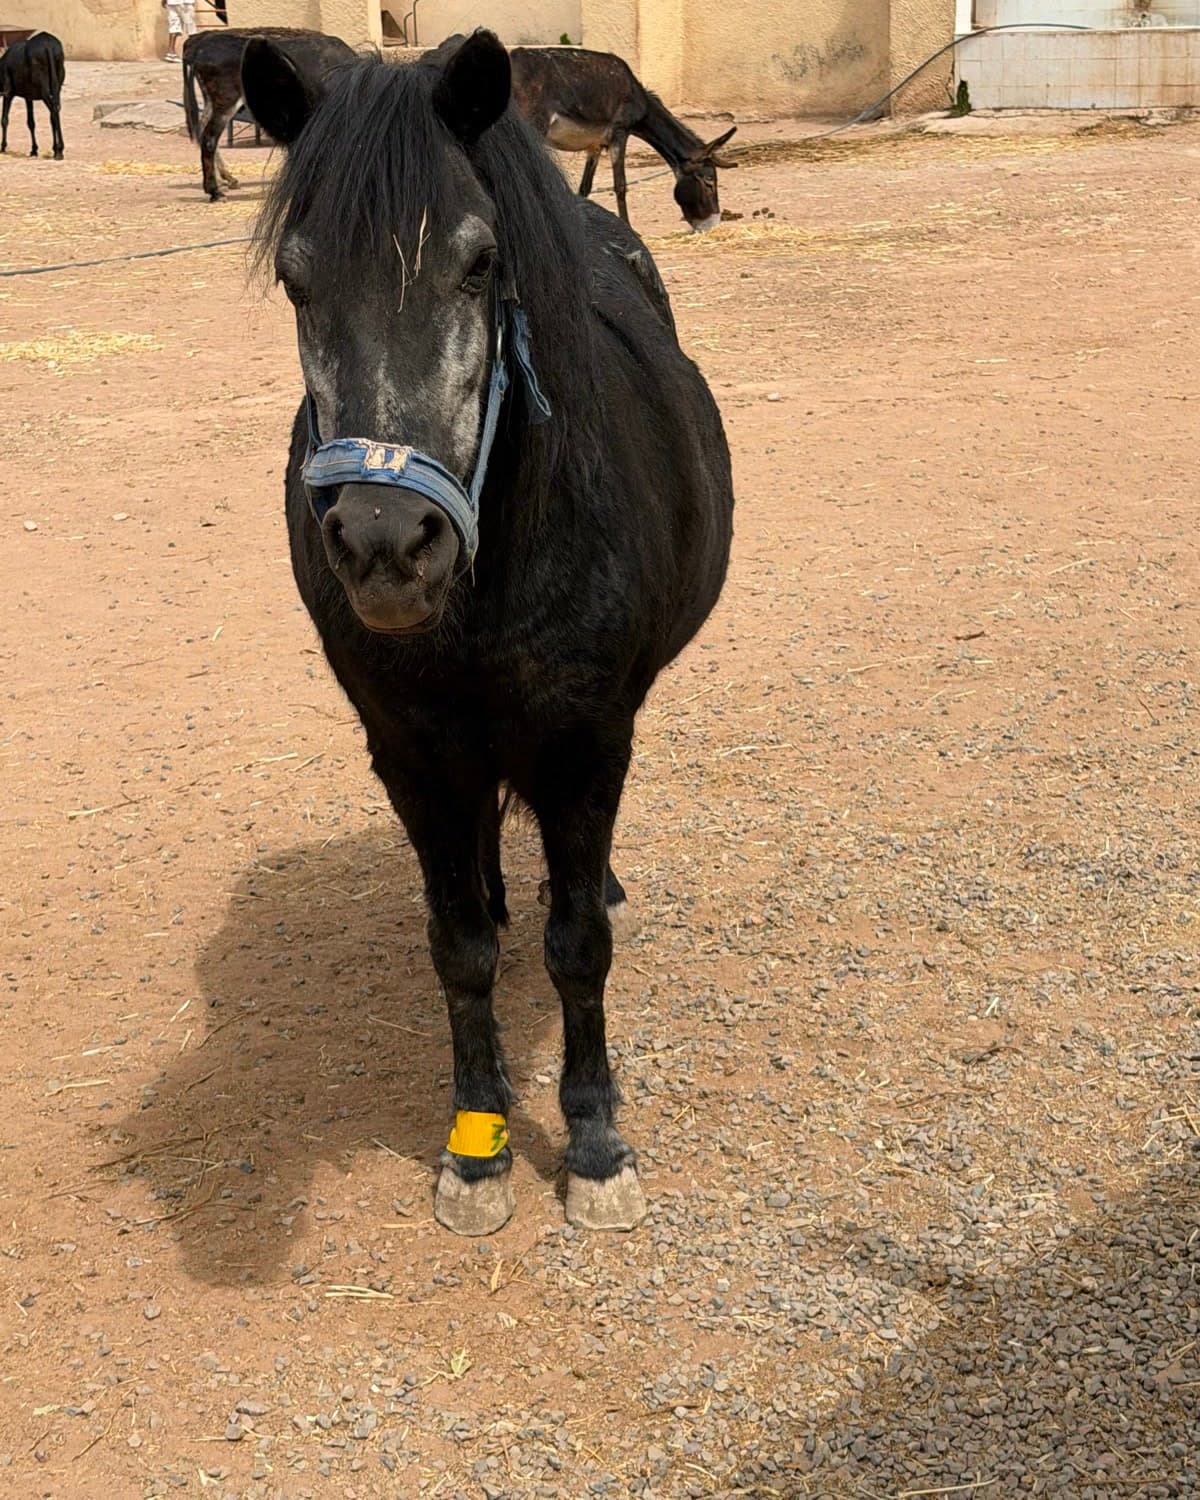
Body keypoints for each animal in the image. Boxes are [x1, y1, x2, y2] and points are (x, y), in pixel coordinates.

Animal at [0, 31, 65, 161]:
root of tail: (48, 44)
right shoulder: (28, 97)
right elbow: (31, 122)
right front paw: (34, 150)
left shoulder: (7, 93)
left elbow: (4, 119)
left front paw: (3, 147)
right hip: (57, 86)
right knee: (54, 112)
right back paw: (56, 149)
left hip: (44, 90)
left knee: (54, 110)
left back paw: (59, 150)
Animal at [181, 26, 353, 200]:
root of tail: (198, 48)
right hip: (226, 101)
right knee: (209, 138)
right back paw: (215, 191)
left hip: (212, 101)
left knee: (203, 129)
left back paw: (227, 179)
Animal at [509, 45, 737, 231]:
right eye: (709, 182)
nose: (712, 224)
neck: (637, 96)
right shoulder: (620, 133)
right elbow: (620, 185)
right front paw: (628, 227)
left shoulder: (596, 145)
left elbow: (585, 187)